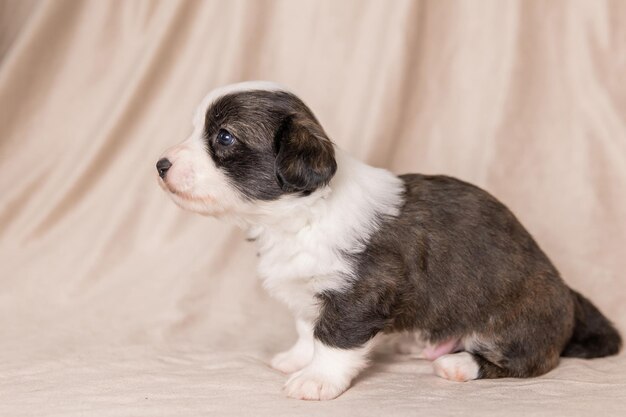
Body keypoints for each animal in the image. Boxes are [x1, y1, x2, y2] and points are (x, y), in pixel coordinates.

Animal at [157, 81, 620, 400]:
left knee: (528, 361)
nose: (160, 164)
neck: (299, 216)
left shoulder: (360, 295)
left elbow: (332, 339)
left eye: (224, 137)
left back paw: (458, 365)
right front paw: (296, 358)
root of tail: (567, 292)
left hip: (517, 323)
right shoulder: (311, 290)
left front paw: (316, 380)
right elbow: (308, 328)